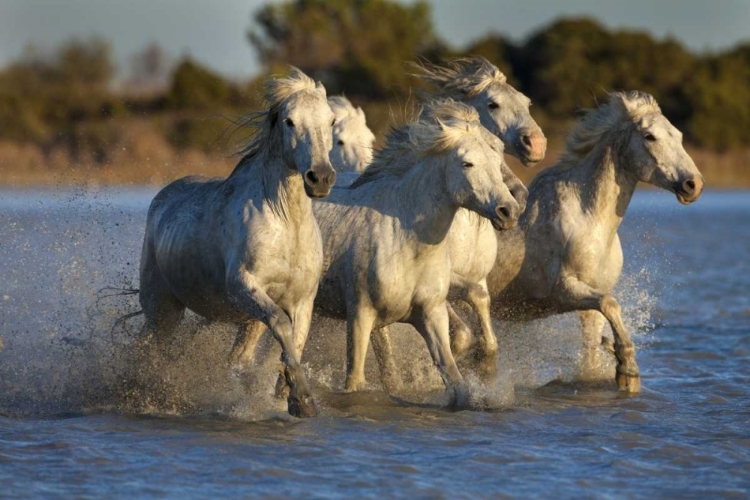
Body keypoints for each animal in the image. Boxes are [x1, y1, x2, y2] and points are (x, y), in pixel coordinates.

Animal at [314, 100, 520, 406]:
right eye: (467, 163)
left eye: (498, 158)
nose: (509, 211)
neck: (405, 239)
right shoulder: (360, 314)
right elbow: (355, 383)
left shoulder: (431, 311)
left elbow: (455, 378)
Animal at [488, 92, 704, 392]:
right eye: (649, 136)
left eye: (679, 136)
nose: (693, 184)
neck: (588, 220)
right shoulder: (564, 290)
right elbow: (611, 305)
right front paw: (627, 370)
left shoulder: (592, 300)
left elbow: (594, 343)